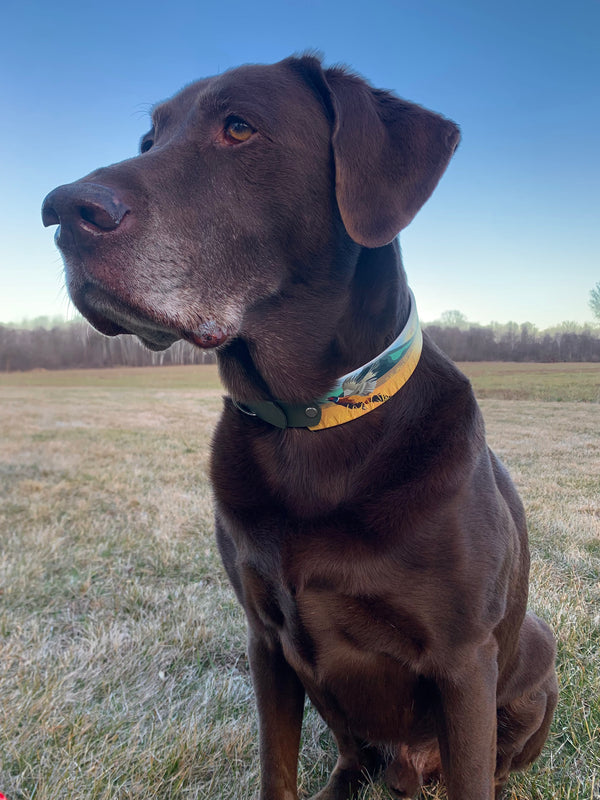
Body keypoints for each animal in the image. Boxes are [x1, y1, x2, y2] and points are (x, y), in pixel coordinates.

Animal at [42, 53, 556, 796]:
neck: (310, 421)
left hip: (535, 651)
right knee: (352, 755)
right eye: (150, 140)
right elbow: (275, 771)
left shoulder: (463, 661)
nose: (60, 211)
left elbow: (473, 771)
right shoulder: (268, 641)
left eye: (239, 127)